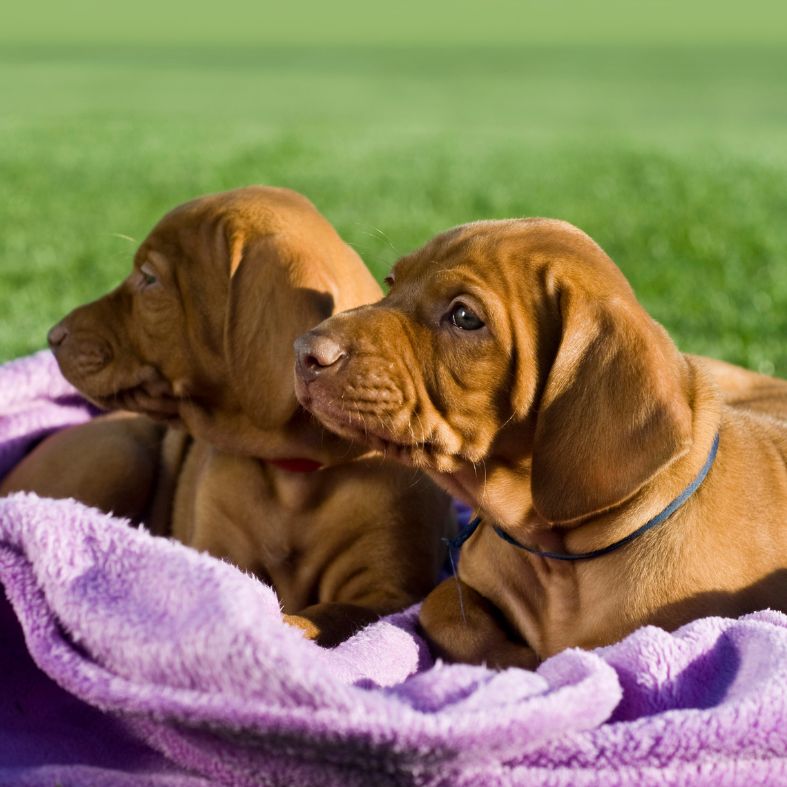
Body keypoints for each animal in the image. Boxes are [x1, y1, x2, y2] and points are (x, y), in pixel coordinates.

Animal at [294, 219, 787, 668]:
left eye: (464, 317)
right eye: (391, 283)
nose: (303, 351)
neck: (559, 563)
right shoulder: (461, 583)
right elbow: (443, 610)